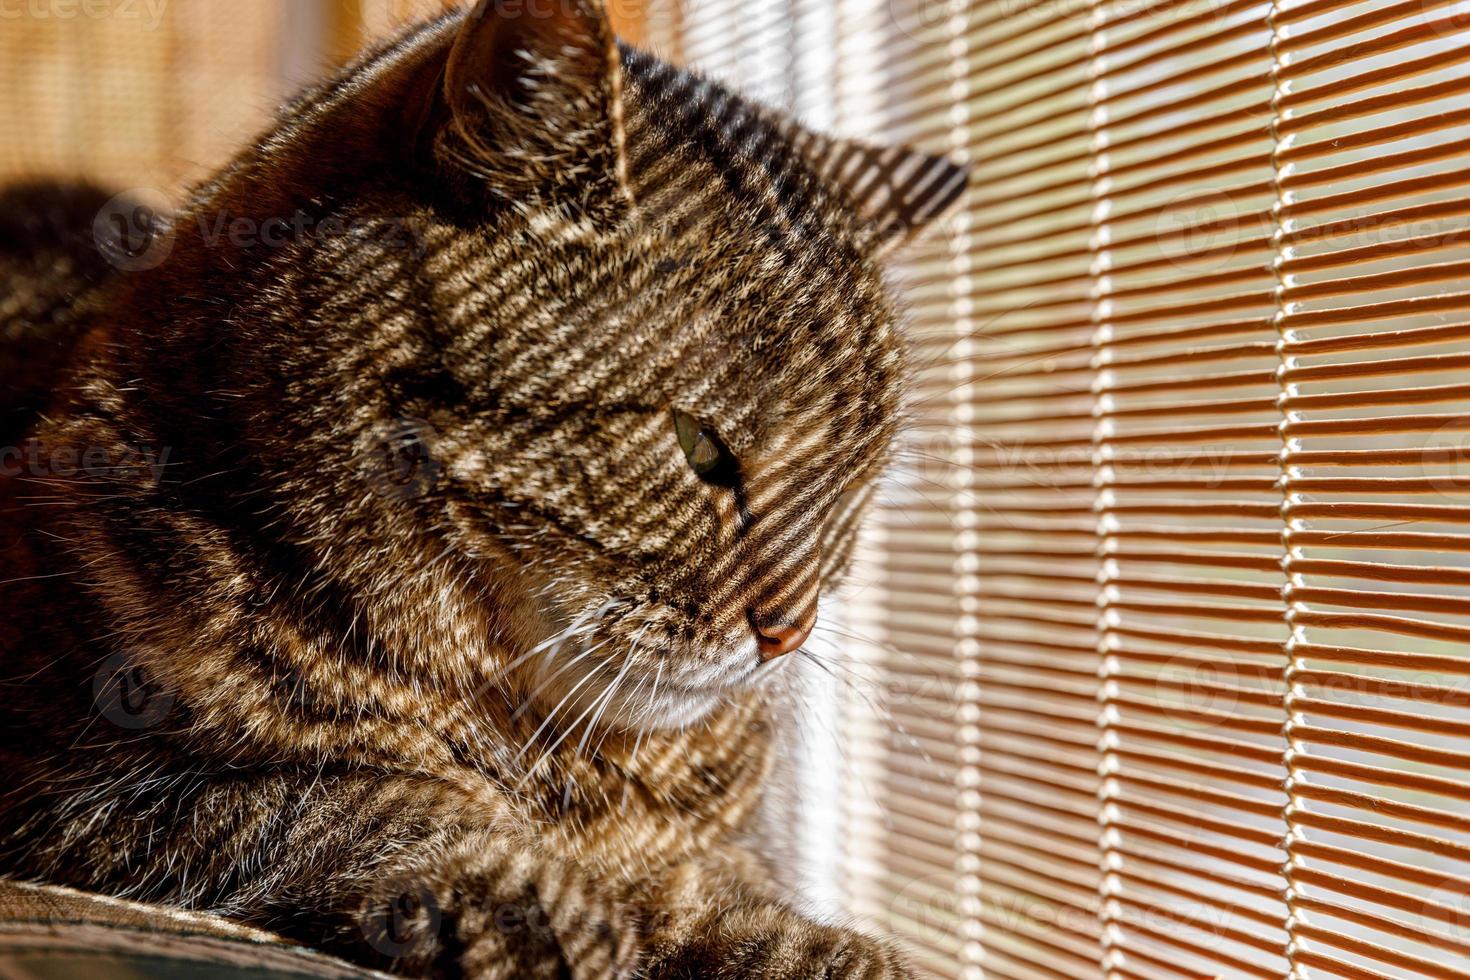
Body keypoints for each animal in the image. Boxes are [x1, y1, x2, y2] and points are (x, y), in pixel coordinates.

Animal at [0, 3, 964, 975]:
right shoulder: (78, 787)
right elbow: (343, 802)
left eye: (848, 491)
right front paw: (533, 892)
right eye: (703, 450)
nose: (788, 631)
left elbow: (715, 889)